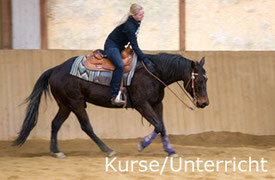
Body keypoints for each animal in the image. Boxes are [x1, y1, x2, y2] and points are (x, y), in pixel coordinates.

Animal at [12, 51, 209, 158]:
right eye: (198, 80)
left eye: (206, 79)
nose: (205, 103)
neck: (153, 72)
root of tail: (55, 69)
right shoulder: (142, 104)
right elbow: (159, 125)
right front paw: (142, 145)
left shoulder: (156, 104)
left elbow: (161, 126)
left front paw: (170, 150)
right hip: (75, 103)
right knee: (86, 126)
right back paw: (108, 150)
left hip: (65, 105)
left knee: (55, 124)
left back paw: (56, 151)